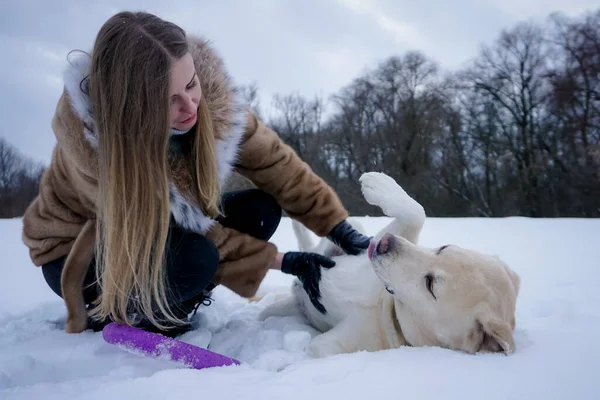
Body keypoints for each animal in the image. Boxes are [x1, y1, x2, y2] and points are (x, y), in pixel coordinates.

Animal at [258, 171, 520, 356]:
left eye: (430, 284)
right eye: (443, 248)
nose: (384, 243)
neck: (386, 303)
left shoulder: (337, 343)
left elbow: (317, 348)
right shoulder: (389, 239)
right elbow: (416, 213)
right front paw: (378, 182)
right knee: (315, 244)